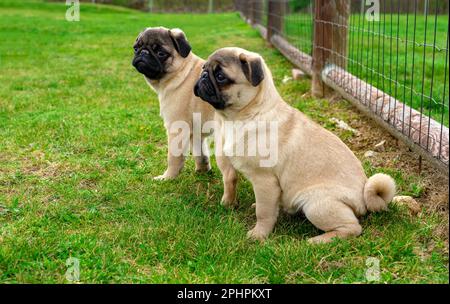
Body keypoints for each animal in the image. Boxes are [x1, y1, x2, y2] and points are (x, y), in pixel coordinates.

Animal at [132, 27, 214, 179]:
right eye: (136, 48)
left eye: (161, 53)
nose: (143, 52)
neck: (181, 72)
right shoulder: (195, 133)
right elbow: (200, 154)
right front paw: (203, 171)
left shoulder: (177, 128)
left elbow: (174, 157)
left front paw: (168, 177)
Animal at [193, 46, 394, 243]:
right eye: (204, 68)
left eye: (221, 77)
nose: (203, 76)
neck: (238, 117)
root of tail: (363, 199)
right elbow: (230, 183)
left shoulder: (264, 180)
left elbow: (263, 213)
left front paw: (259, 235)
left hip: (316, 204)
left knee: (352, 228)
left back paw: (318, 240)